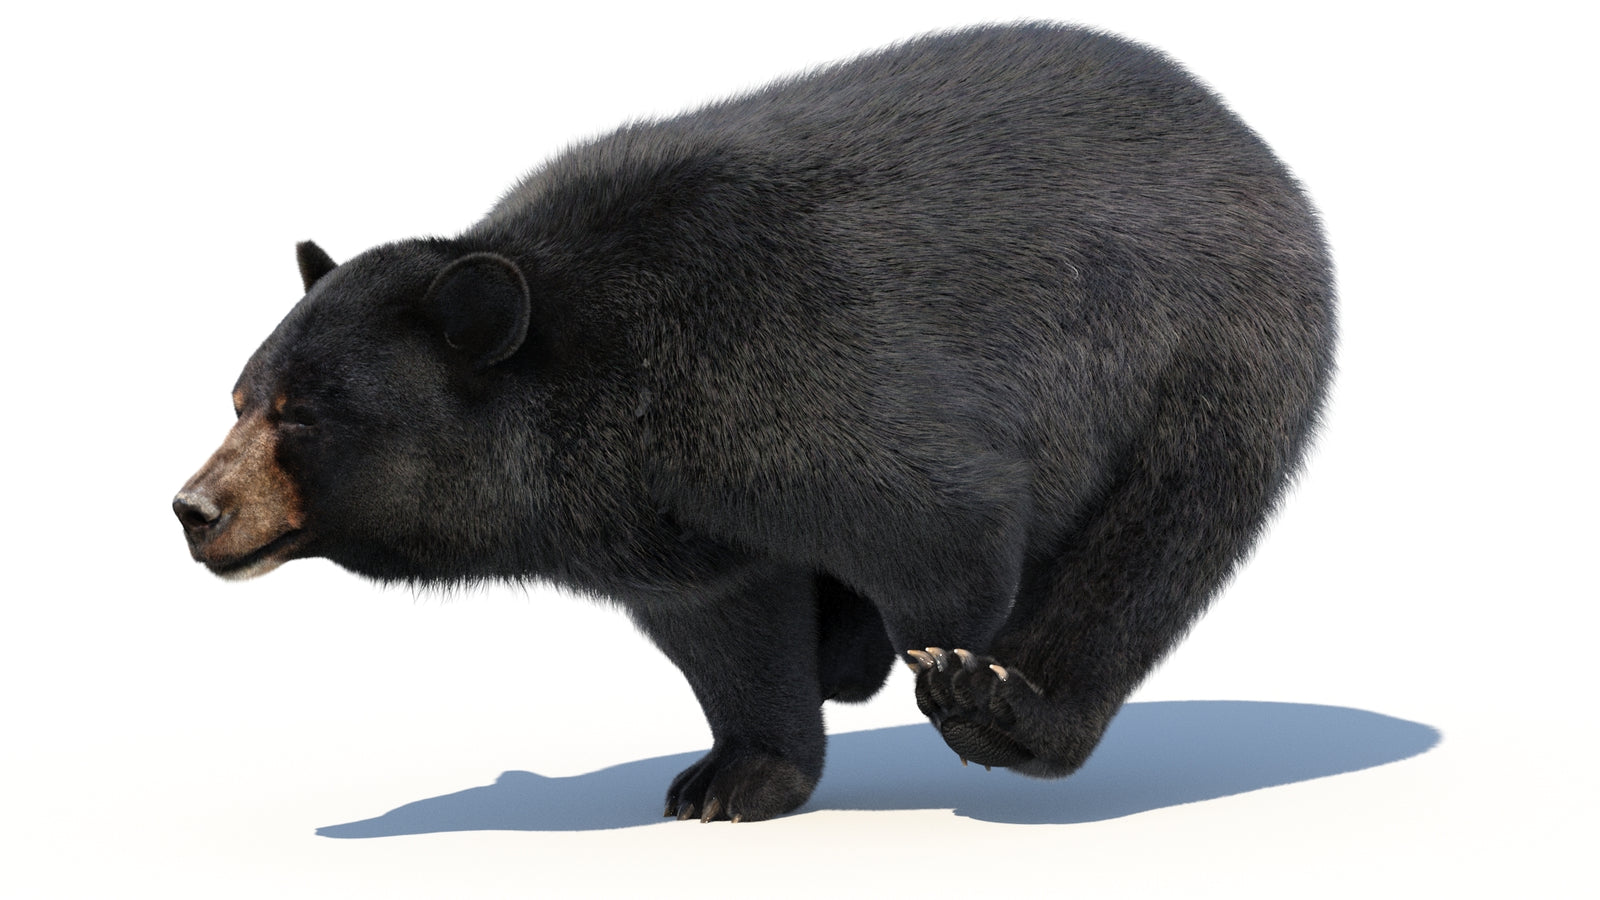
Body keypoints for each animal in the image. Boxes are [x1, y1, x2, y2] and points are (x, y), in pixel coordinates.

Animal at [174, 22, 1335, 823]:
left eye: (307, 415)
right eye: (239, 398)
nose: (195, 508)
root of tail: (1246, 138)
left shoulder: (777, 366)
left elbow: (943, 521)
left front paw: (926, 657)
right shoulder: (669, 518)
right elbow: (726, 627)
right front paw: (733, 777)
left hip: (1213, 353)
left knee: (1151, 548)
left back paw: (1004, 707)